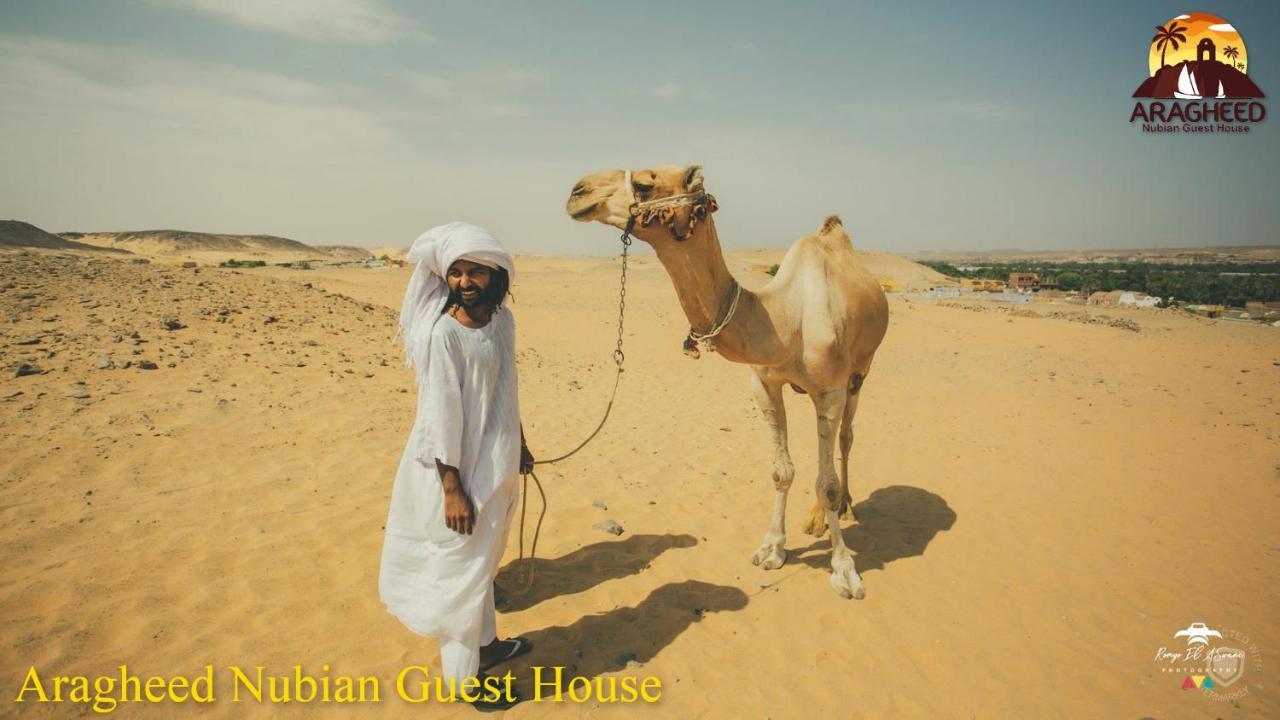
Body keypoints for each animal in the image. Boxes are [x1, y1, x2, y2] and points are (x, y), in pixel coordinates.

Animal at [570, 165, 890, 597]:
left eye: (645, 183)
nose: (577, 192)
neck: (785, 320)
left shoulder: (831, 389)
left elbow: (827, 484)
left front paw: (844, 569)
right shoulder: (764, 385)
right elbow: (781, 471)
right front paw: (773, 549)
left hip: (861, 371)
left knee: (845, 438)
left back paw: (841, 507)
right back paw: (815, 520)